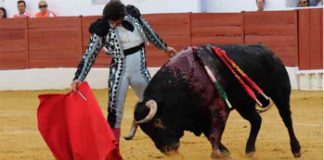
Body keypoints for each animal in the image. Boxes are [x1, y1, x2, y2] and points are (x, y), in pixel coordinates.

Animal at [123, 44, 302, 158]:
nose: (167, 150)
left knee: (287, 118)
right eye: (146, 131)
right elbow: (210, 135)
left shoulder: (218, 109)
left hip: (280, 93)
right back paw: (250, 149)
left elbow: (214, 134)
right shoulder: (199, 116)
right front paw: (225, 152)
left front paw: (217, 154)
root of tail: (270, 52)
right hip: (244, 104)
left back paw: (296, 149)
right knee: (256, 120)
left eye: (158, 122)